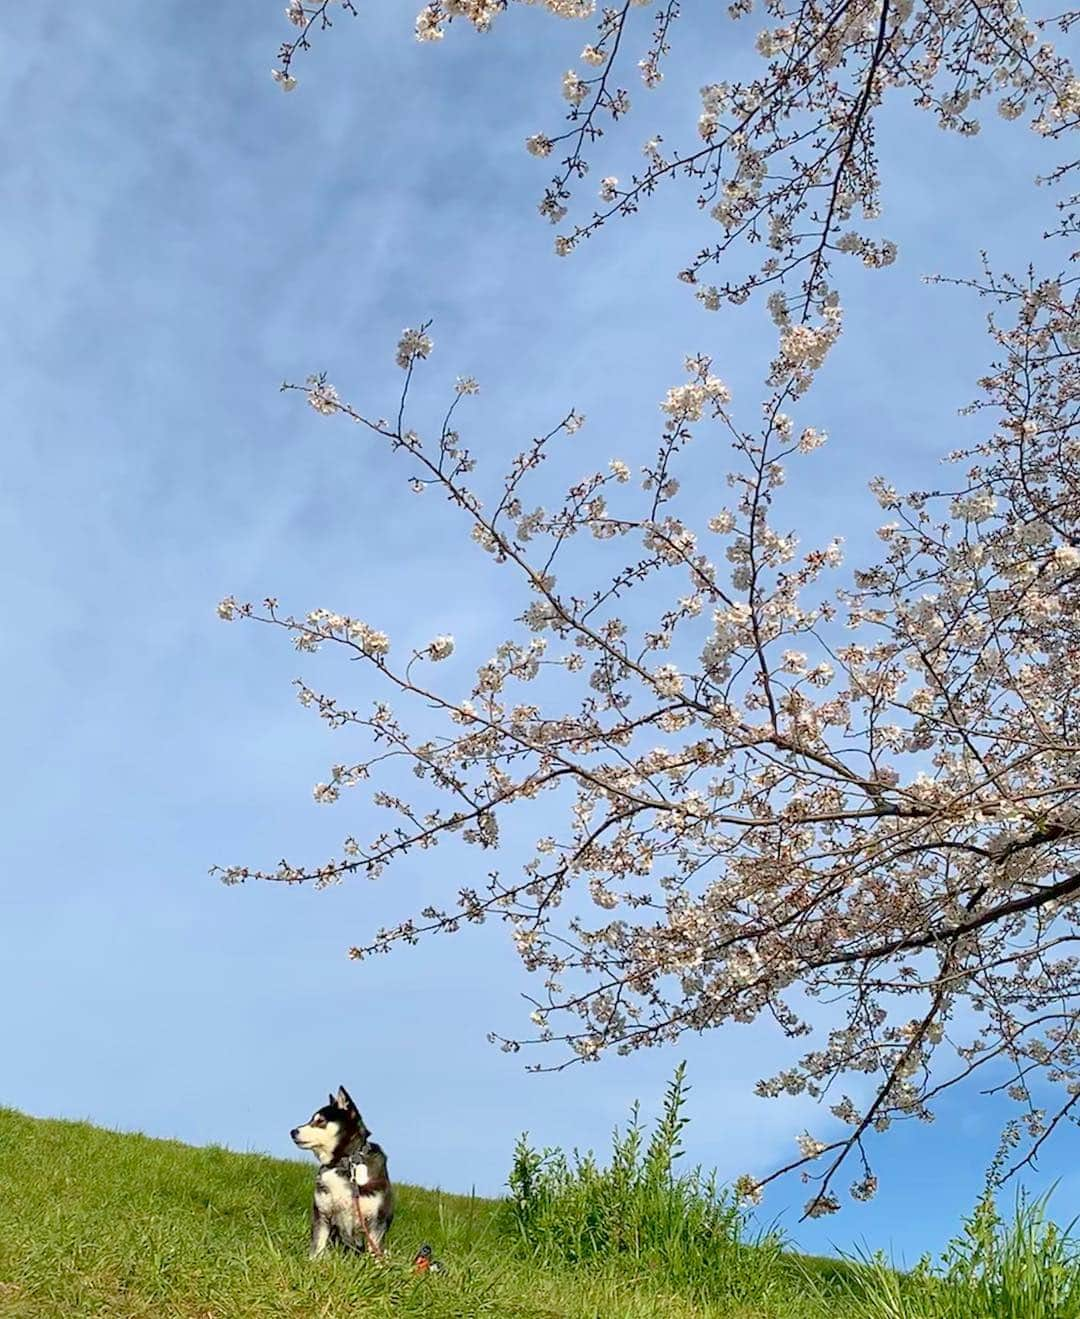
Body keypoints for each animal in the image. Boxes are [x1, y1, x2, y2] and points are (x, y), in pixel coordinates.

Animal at [288, 1086, 395, 1260]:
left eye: (320, 1121)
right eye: (311, 1119)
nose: (292, 1132)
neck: (344, 1162)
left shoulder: (375, 1222)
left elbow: (374, 1252)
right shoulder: (322, 1213)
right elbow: (317, 1246)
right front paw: (312, 1263)